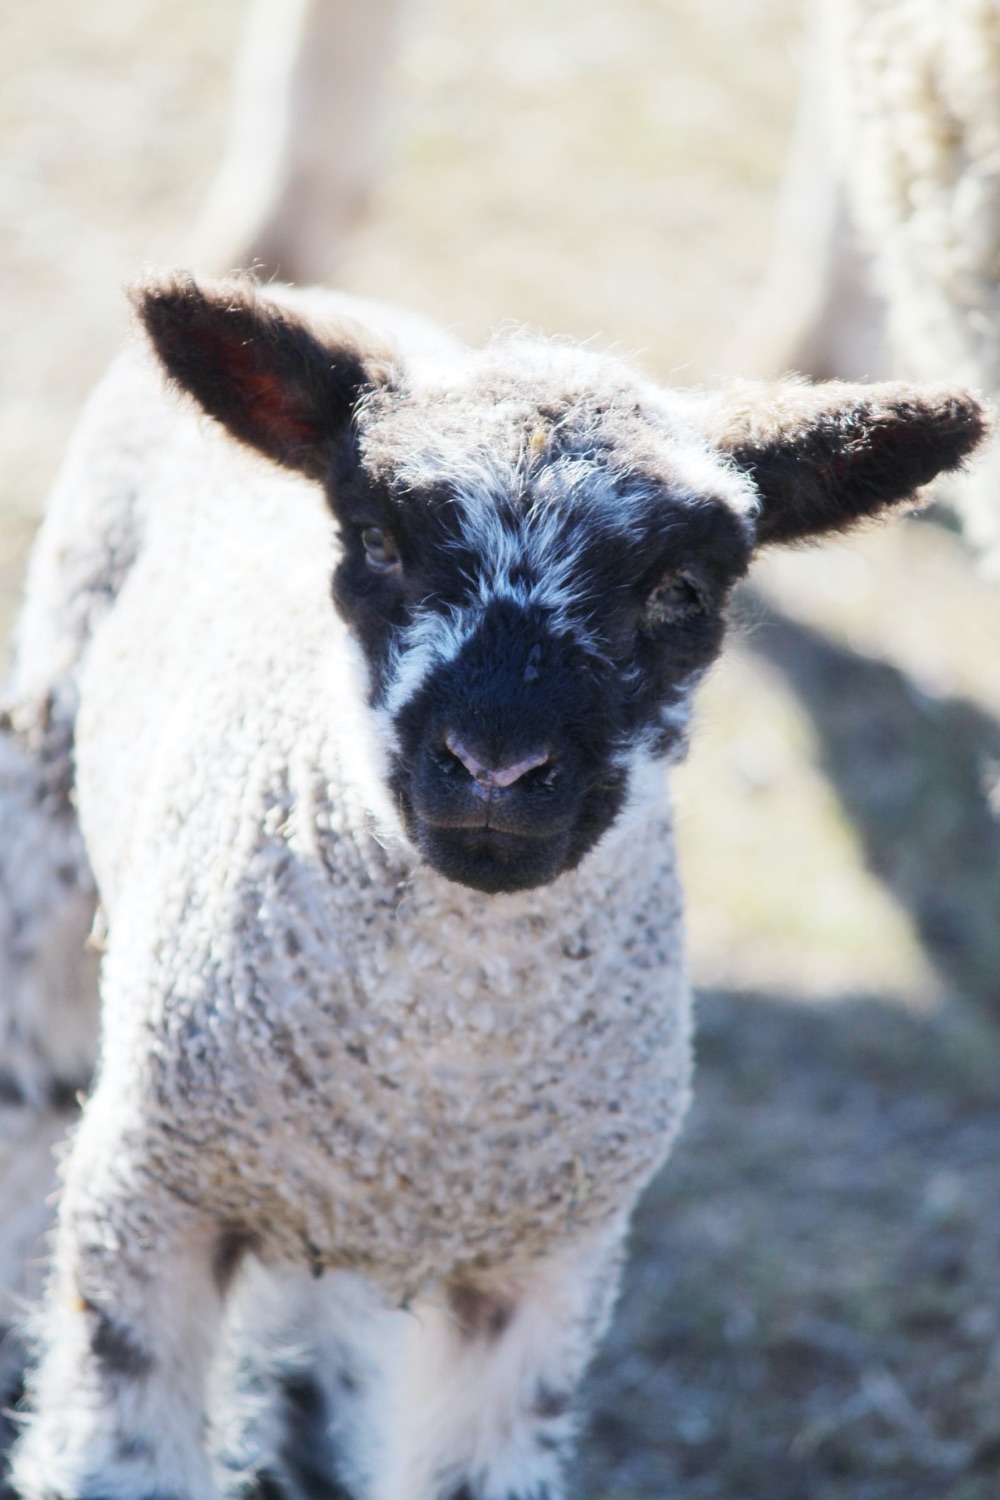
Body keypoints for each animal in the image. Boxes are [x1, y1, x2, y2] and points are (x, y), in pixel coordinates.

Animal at [0, 272, 986, 1500]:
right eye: (376, 543)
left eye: (683, 589)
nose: (496, 768)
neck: (443, 1089)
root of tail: (320, 292)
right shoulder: (152, 1202)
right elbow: (124, 1455)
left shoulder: (547, 1271)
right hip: (44, 815)